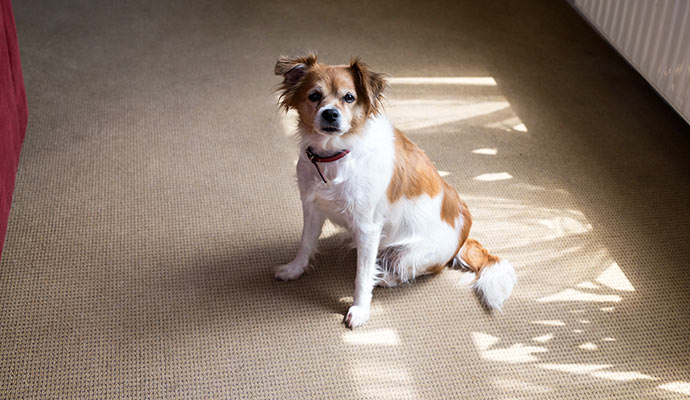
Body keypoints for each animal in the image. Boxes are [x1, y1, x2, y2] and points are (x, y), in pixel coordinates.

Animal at [272, 54, 512, 328]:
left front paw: (360, 309)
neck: (335, 155)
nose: (330, 114)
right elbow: (305, 245)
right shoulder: (312, 208)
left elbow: (362, 276)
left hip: (408, 254)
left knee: (418, 269)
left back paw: (385, 279)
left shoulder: (367, 228)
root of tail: (464, 234)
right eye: (314, 95)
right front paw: (294, 269)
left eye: (349, 97)